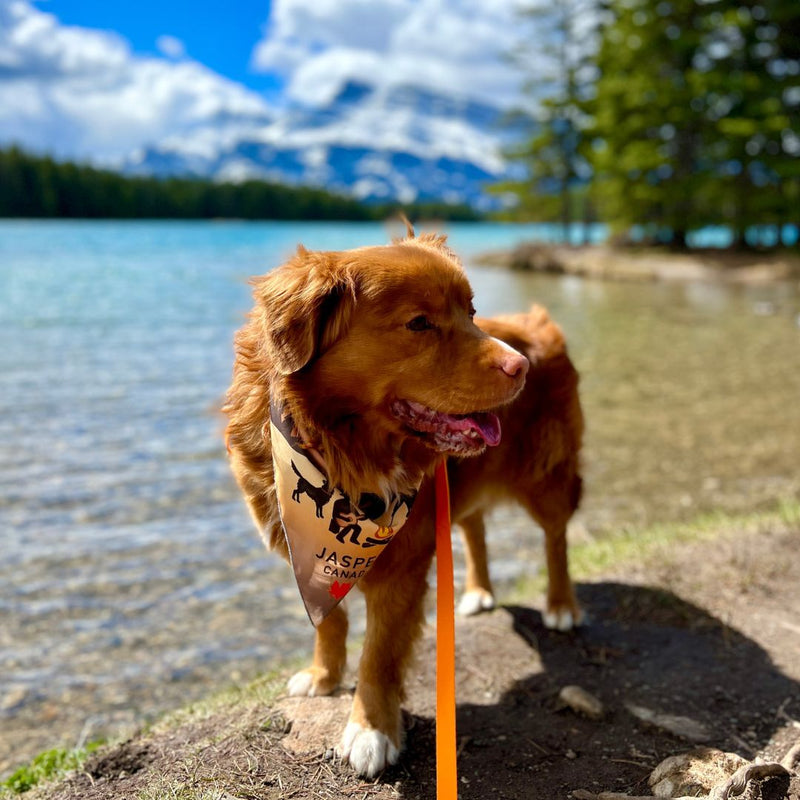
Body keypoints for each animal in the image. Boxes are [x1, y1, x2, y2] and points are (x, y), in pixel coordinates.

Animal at [223, 228, 580, 780]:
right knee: (474, 526)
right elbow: (332, 620)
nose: (520, 365)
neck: (340, 451)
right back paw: (478, 591)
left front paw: (371, 730)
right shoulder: (304, 549)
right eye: (419, 323)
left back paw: (561, 604)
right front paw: (324, 675)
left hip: (546, 478)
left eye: (471, 312)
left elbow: (379, 653)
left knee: (556, 537)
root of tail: (535, 320)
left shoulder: (403, 564)